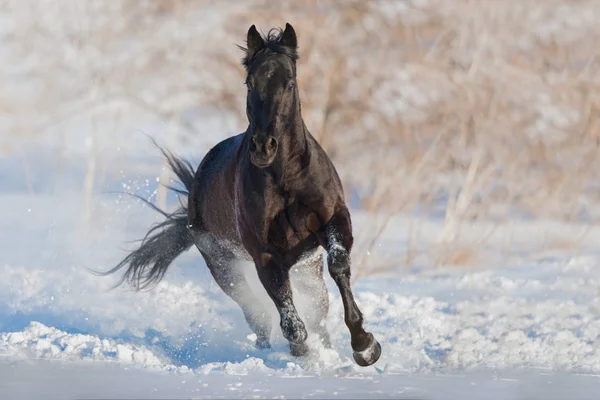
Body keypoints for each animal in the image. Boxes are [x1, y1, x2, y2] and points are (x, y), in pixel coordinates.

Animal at [100, 21, 380, 366]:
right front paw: (306, 354)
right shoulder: (264, 255)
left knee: (316, 312)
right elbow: (289, 319)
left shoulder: (334, 219)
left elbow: (339, 265)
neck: (286, 178)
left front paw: (365, 346)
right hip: (225, 269)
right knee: (258, 316)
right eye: (249, 83)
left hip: (307, 268)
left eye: (289, 82)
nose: (263, 147)